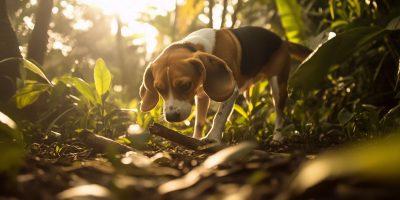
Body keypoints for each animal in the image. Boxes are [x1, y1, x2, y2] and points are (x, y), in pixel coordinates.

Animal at [139, 26, 310, 143]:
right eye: (159, 89)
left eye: (185, 85)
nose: (171, 117)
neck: (193, 46)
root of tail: (282, 41)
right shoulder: (201, 96)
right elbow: (199, 122)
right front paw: (195, 139)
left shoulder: (232, 90)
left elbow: (219, 117)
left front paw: (212, 139)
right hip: (249, 93)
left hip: (277, 86)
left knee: (280, 114)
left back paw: (277, 138)